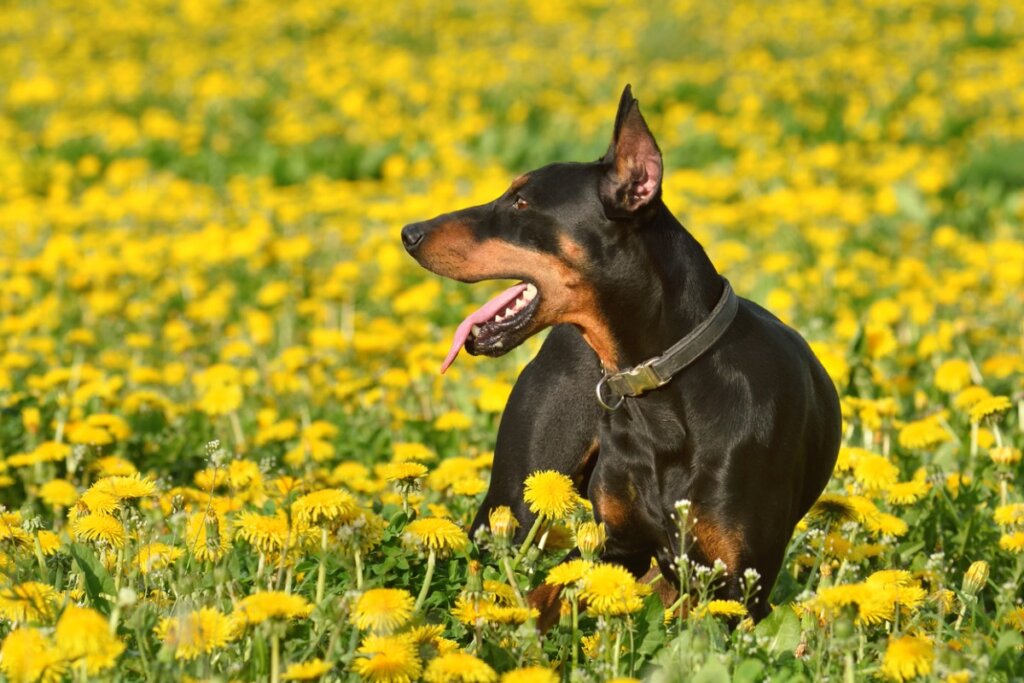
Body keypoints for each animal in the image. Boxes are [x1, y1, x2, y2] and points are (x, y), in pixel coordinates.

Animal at [399, 85, 839, 618]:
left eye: (521, 202)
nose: (409, 233)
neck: (662, 386)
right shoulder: (617, 544)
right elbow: (550, 591)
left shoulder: (737, 584)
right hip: (516, 497)